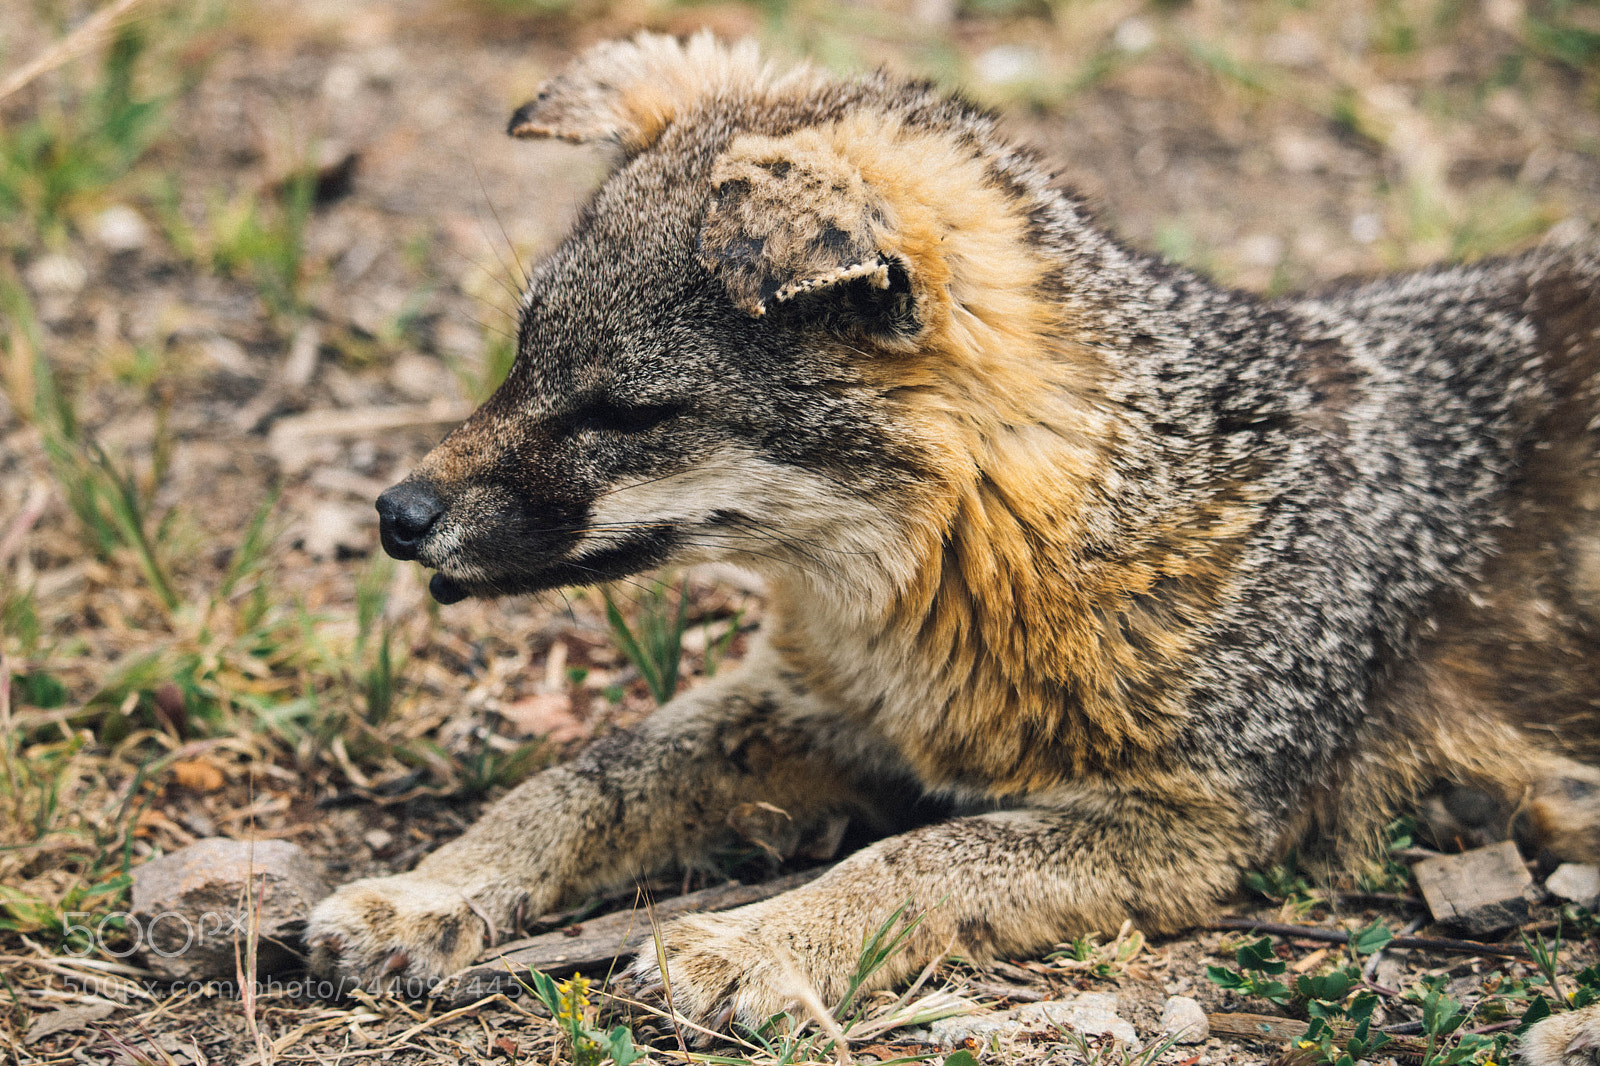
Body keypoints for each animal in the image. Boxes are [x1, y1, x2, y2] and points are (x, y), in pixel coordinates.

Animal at [306, 31, 1600, 1031]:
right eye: (521, 357)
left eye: (629, 412)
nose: (397, 515)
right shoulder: (820, 702)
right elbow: (584, 781)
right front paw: (430, 889)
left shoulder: (1192, 820)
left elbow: (913, 857)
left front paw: (761, 939)